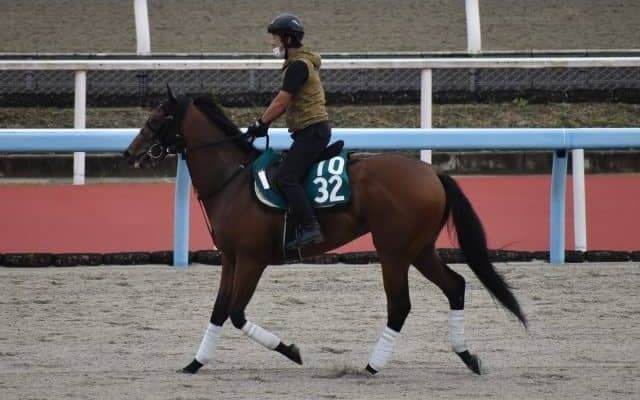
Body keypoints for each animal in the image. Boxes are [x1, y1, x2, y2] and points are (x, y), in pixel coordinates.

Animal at [124, 86, 527, 376]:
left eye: (157, 117)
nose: (129, 153)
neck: (233, 179)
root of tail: (433, 173)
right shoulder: (230, 258)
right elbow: (219, 310)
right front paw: (195, 363)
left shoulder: (253, 260)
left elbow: (236, 313)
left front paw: (291, 350)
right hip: (420, 249)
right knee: (455, 285)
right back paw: (467, 356)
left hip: (393, 251)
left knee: (400, 305)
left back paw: (372, 366)